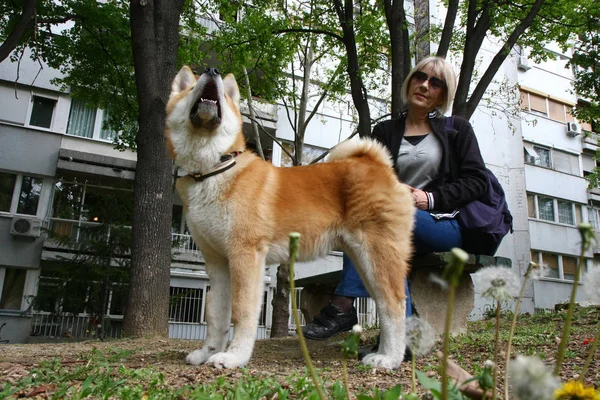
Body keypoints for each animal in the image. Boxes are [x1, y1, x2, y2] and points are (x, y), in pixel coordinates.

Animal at [166, 65, 414, 368]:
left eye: (223, 94)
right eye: (192, 88)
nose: (212, 70)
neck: (214, 170)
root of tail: (378, 165)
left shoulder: (245, 256)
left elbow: (241, 312)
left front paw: (235, 356)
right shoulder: (217, 263)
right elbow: (216, 315)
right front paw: (208, 352)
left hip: (378, 255)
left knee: (394, 304)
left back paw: (390, 358)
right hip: (364, 263)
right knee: (383, 304)